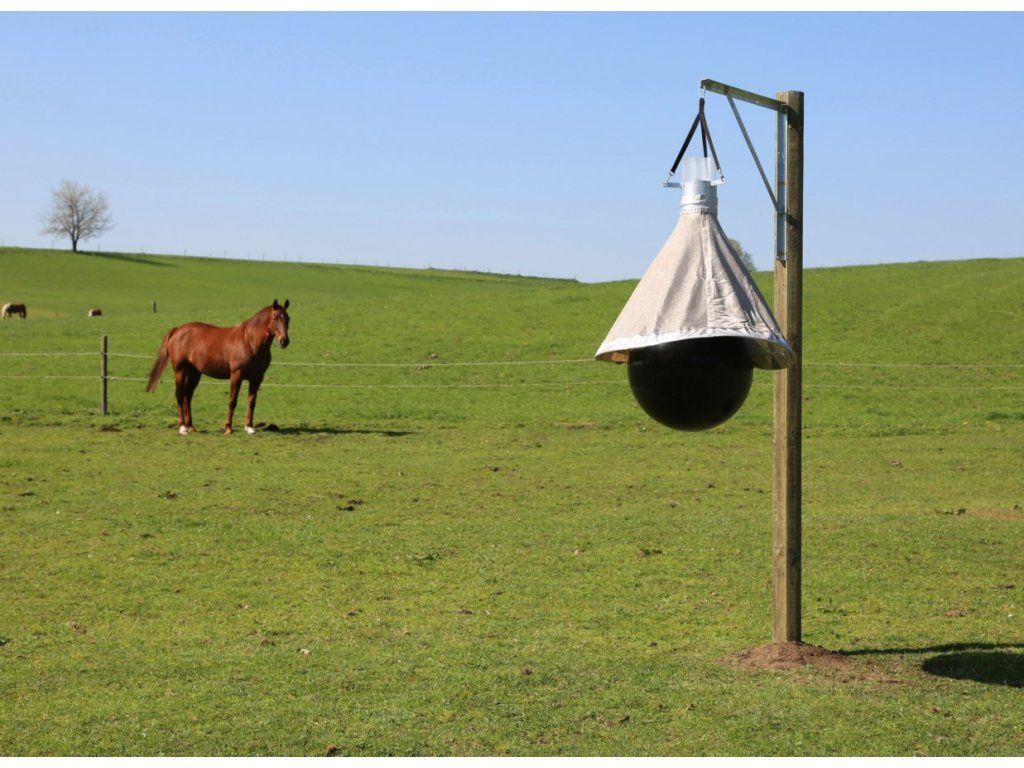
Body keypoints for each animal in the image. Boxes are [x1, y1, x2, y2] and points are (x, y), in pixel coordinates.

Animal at [146, 300, 291, 435]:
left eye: (288, 318)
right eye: (275, 317)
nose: (284, 341)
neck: (249, 341)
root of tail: (177, 330)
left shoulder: (257, 378)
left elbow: (251, 401)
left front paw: (249, 427)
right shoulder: (236, 375)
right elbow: (232, 400)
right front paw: (228, 428)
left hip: (194, 373)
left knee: (188, 396)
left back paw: (191, 426)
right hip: (180, 371)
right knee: (180, 395)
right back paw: (182, 427)